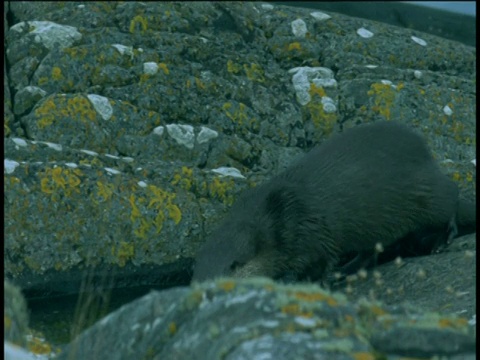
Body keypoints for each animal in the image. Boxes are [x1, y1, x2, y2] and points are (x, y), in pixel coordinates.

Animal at [192, 122, 476, 282]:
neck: (280, 219)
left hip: (425, 194)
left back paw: (441, 239)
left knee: (450, 195)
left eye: (233, 266)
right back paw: (348, 271)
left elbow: (317, 264)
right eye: (196, 275)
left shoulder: (312, 233)